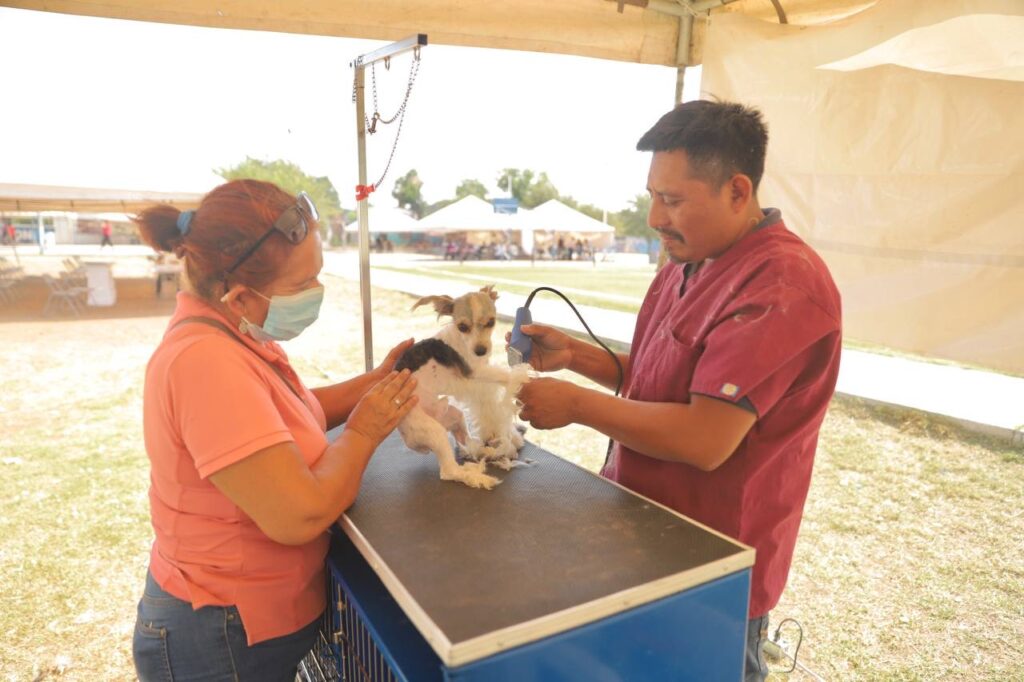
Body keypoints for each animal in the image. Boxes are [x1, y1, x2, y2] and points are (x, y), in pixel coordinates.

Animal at [395, 284, 532, 485]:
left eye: (491, 322)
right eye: (462, 326)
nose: (481, 350)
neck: (462, 341)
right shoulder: (475, 371)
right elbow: (502, 374)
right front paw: (523, 376)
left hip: (455, 417)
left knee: (467, 444)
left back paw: (489, 451)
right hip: (435, 431)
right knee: (449, 471)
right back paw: (478, 477)